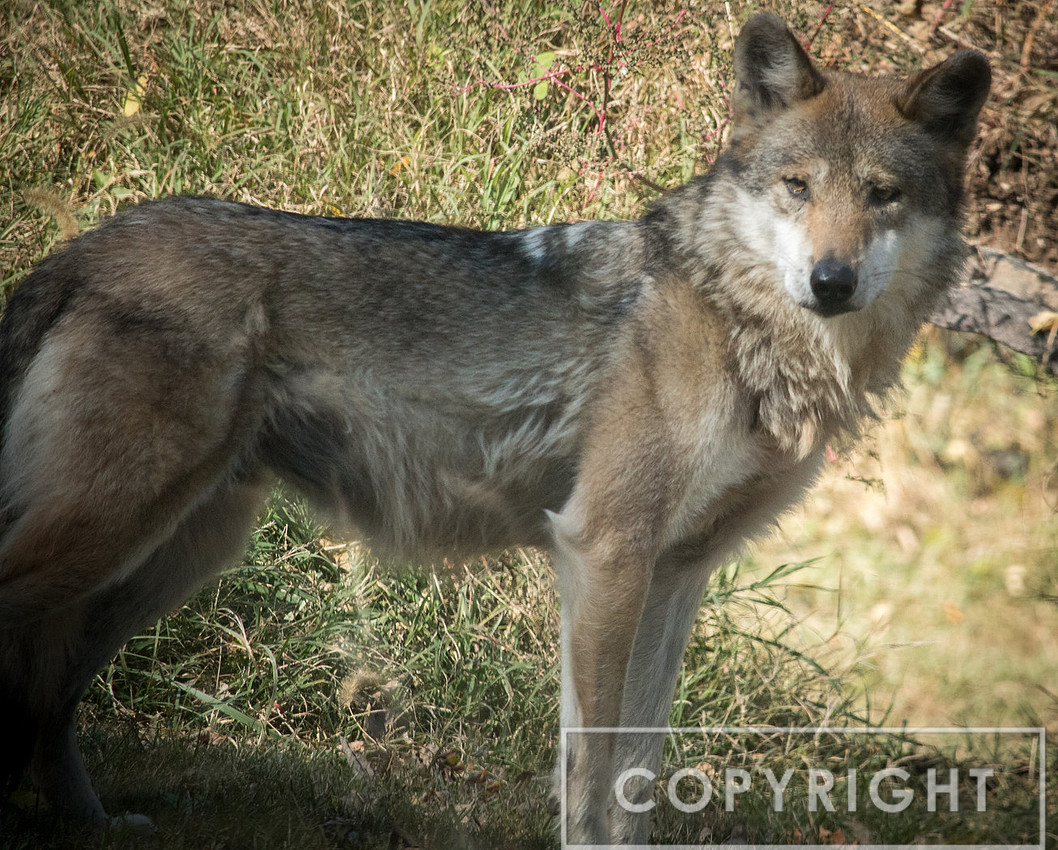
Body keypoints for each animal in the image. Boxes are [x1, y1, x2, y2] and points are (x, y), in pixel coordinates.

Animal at [0, 12, 988, 846]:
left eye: (883, 195)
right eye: (797, 187)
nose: (832, 280)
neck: (735, 321)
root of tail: (81, 249)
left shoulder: (677, 577)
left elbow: (640, 769)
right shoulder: (603, 554)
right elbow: (592, 772)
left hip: (183, 551)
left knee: (49, 697)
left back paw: (91, 823)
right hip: (117, 530)